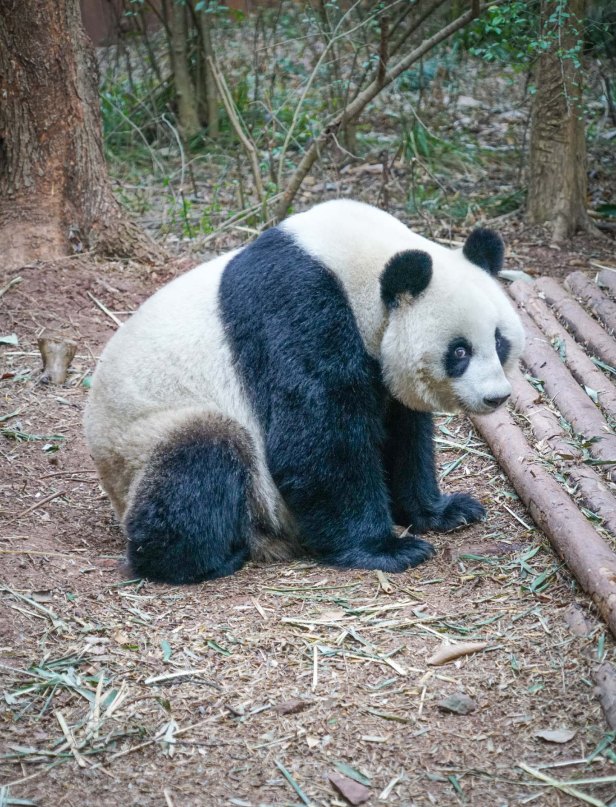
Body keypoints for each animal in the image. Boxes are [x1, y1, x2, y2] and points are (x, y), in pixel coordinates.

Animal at [84, 199, 524, 585]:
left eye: (499, 341)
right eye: (460, 351)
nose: (496, 397)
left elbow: (403, 431)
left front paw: (445, 511)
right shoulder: (298, 310)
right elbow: (316, 437)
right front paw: (387, 549)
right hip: (143, 439)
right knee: (202, 453)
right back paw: (199, 559)